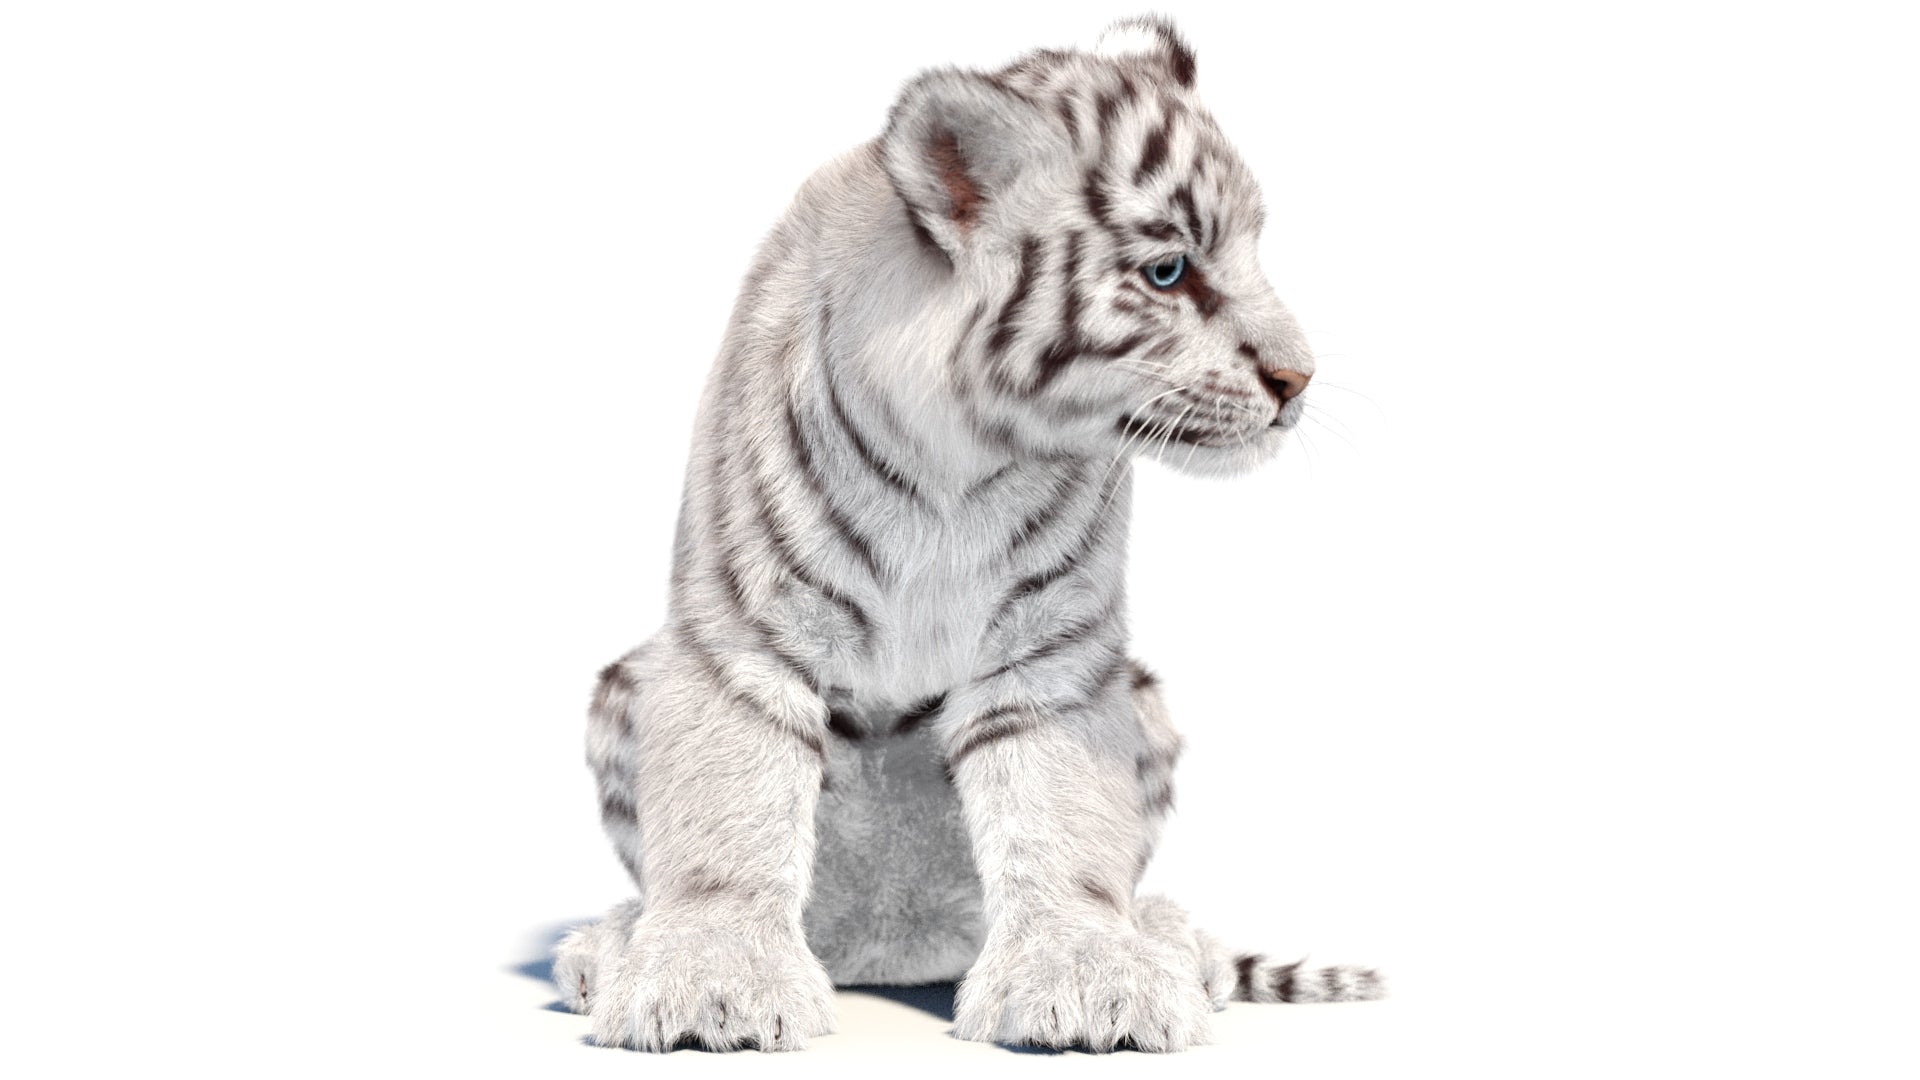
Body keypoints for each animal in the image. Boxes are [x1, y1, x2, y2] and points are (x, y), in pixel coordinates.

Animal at [551, 16, 1382, 1053]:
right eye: (1169, 271)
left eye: (1256, 249)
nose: (1297, 381)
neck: (963, 450)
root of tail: (884, 946)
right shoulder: (746, 634)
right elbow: (729, 809)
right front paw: (710, 987)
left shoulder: (1054, 651)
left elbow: (1063, 821)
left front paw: (1095, 979)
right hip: (623, 686)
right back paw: (607, 946)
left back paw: (1167, 941)